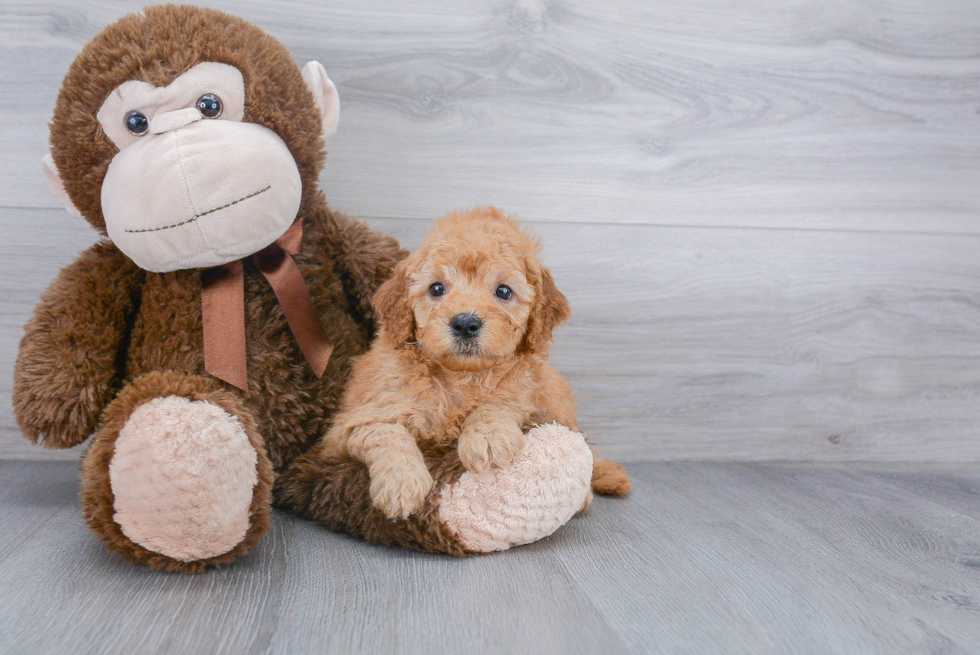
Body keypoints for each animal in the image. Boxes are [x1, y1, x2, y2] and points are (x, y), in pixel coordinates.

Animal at [322, 208, 628, 520]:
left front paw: (488, 437)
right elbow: (387, 432)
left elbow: (498, 401)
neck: (458, 377)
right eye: (436, 288)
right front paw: (401, 483)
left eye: (504, 291)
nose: (465, 323)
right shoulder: (350, 426)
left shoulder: (523, 392)